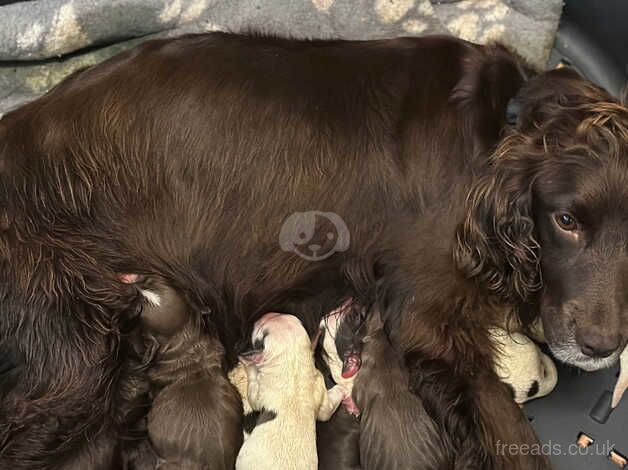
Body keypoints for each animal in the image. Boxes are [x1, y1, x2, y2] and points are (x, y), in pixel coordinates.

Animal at [234, 312, 346, 470]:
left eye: (261, 336)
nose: (267, 314)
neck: (293, 361)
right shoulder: (320, 390)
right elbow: (327, 410)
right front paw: (343, 388)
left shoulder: (259, 392)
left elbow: (253, 392)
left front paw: (249, 366)